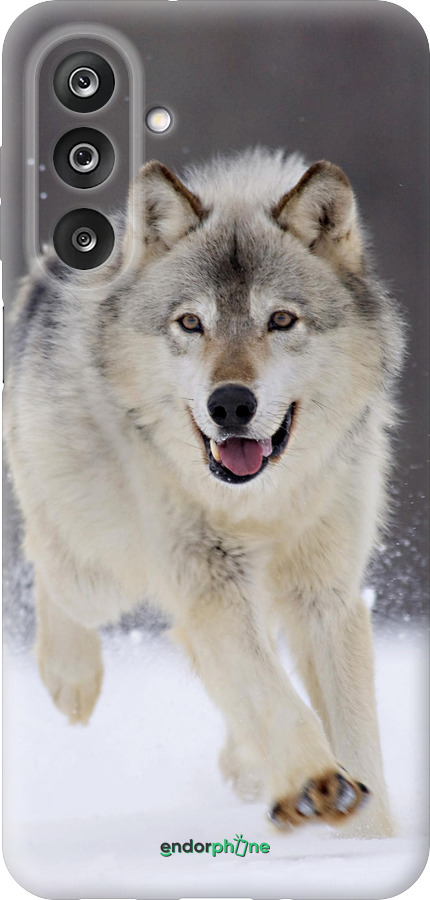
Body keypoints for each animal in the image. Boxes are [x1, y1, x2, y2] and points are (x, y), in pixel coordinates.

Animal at [4, 148, 404, 837]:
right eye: (191, 322)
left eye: (281, 320)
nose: (231, 404)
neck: (261, 503)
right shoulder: (209, 579)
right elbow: (272, 695)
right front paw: (316, 783)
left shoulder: (326, 594)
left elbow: (352, 732)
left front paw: (368, 835)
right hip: (100, 572)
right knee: (49, 565)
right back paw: (71, 680)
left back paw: (246, 766)